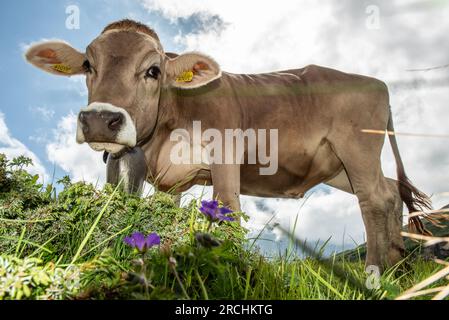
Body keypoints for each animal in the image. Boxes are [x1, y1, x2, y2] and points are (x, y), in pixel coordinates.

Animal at [25, 19, 430, 270]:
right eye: (87, 65)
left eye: (153, 70)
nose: (99, 120)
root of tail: (374, 81)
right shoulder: (169, 183)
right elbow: (163, 220)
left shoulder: (224, 156)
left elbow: (229, 211)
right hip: (339, 167)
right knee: (390, 191)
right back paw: (397, 267)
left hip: (357, 149)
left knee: (373, 199)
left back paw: (374, 274)